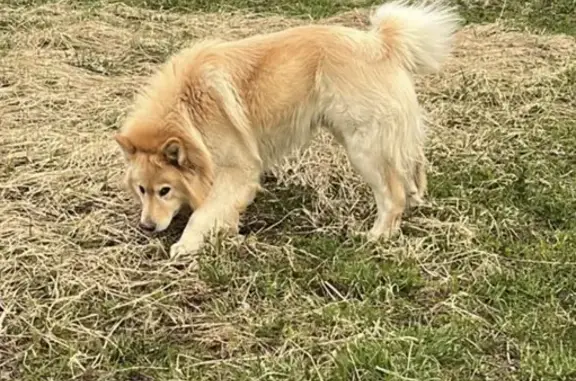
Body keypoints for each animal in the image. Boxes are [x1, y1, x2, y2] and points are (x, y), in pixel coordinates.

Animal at [115, 1, 462, 256]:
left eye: (165, 190)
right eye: (142, 190)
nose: (147, 227)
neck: (187, 110)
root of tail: (381, 44)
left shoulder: (239, 168)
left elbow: (204, 211)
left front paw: (186, 245)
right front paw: (227, 231)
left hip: (363, 148)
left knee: (393, 195)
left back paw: (378, 236)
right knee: (410, 168)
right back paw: (414, 199)